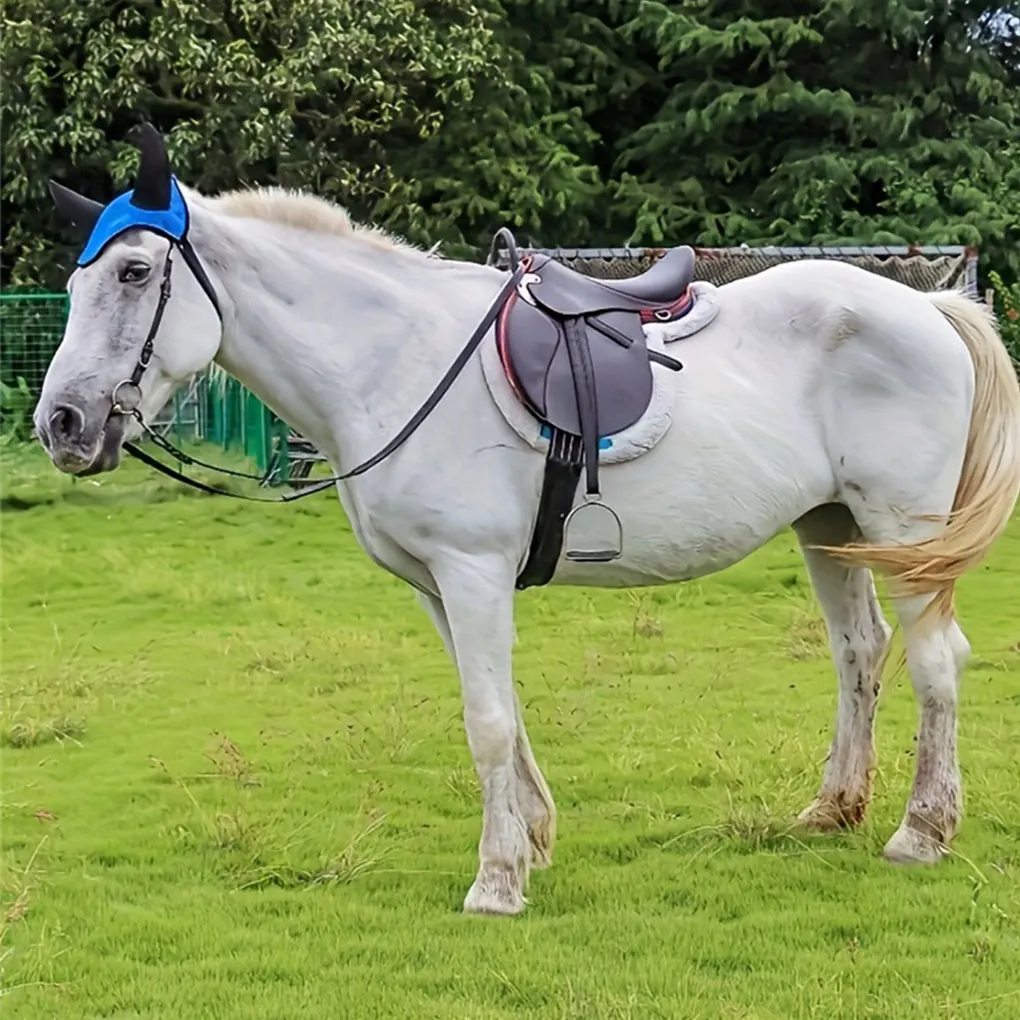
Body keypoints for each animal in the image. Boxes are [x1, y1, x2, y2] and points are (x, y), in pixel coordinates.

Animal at [35, 124, 1020, 915]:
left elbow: (486, 722)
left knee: (936, 660)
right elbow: (498, 708)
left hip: (905, 530)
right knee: (859, 653)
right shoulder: (438, 586)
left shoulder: (472, 571)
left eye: (133, 271)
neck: (394, 360)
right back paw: (834, 809)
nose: (62, 424)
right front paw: (535, 839)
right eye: (77, 285)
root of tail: (929, 306)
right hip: (829, 526)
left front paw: (497, 880)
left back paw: (921, 831)